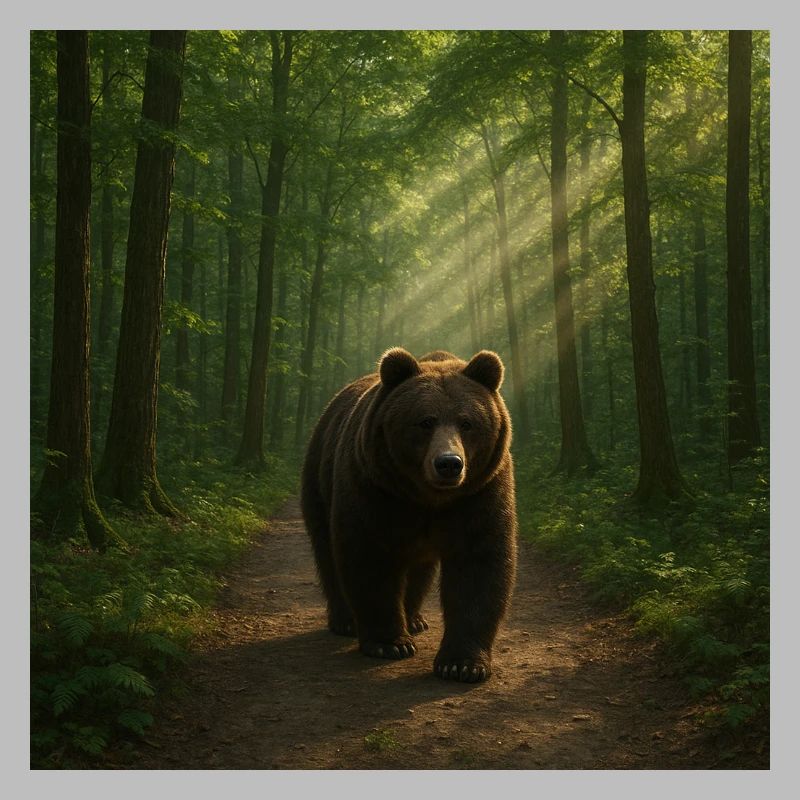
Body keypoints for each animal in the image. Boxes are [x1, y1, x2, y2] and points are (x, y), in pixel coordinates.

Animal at [300, 347, 518, 683]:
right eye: (425, 421)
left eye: (467, 422)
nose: (449, 463)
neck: (428, 497)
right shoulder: (375, 488)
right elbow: (369, 557)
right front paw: (389, 643)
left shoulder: (480, 494)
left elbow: (478, 564)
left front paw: (462, 664)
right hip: (319, 479)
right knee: (327, 550)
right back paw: (346, 620)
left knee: (419, 569)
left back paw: (414, 619)